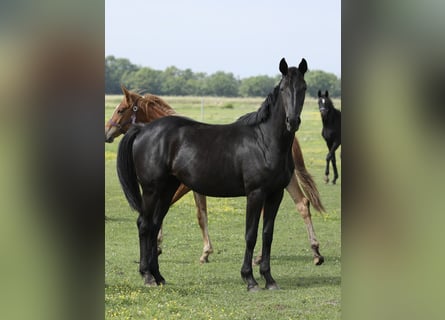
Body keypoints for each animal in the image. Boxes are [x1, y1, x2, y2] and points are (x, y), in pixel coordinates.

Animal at [106, 84, 324, 264]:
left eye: (120, 110)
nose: (107, 132)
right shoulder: (195, 188)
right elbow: (201, 216)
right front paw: (205, 252)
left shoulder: (182, 187)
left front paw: (161, 245)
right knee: (302, 204)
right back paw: (314, 252)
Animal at [116, 57, 306, 290]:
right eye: (283, 88)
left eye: (303, 88)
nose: (292, 121)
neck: (264, 141)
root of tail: (143, 130)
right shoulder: (256, 193)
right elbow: (250, 235)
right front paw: (249, 279)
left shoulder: (275, 194)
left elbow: (267, 235)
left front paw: (269, 279)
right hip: (152, 190)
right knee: (144, 225)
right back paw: (148, 276)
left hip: (167, 189)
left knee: (153, 225)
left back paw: (158, 276)